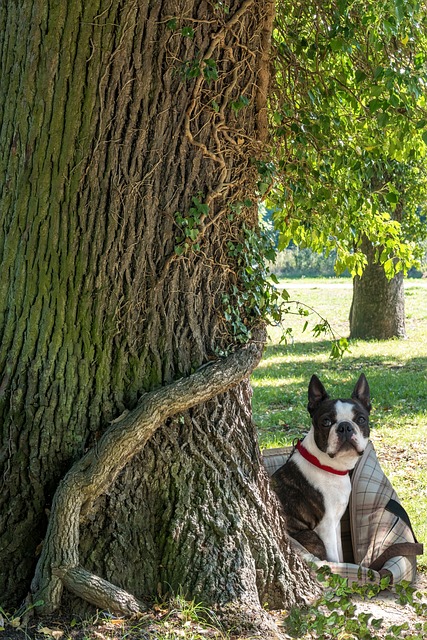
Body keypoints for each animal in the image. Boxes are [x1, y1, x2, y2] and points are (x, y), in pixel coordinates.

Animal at [274, 372, 372, 564]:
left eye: (361, 419)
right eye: (326, 422)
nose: (345, 426)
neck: (328, 466)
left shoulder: (336, 523)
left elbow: (340, 554)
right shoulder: (326, 527)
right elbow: (333, 557)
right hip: (311, 537)